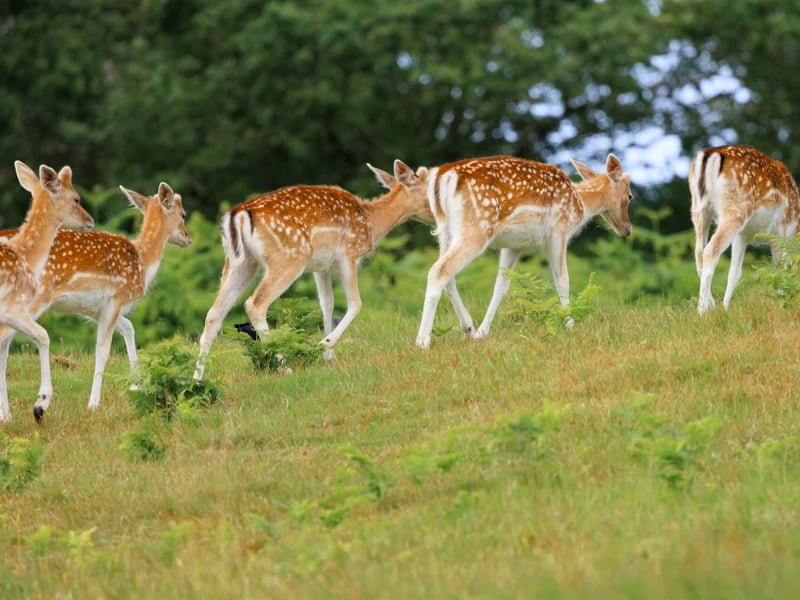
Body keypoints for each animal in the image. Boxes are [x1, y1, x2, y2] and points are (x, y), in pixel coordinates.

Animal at [0, 161, 94, 423]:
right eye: (76, 198)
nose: (90, 220)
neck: (26, 256)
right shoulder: (11, 307)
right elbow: (43, 335)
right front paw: (40, 404)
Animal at [0, 182, 191, 413]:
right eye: (183, 214)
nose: (188, 238)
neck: (143, 264)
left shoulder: (94, 309)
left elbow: (129, 328)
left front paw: (136, 385)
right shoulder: (116, 298)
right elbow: (102, 350)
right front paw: (93, 404)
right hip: (29, 300)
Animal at [193, 159, 431, 380]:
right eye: (429, 189)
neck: (371, 224)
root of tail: (238, 216)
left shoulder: (321, 267)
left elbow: (327, 303)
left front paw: (329, 357)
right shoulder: (348, 256)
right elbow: (356, 304)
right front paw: (324, 344)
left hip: (239, 264)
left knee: (213, 314)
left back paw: (196, 378)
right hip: (288, 258)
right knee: (255, 303)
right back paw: (284, 366)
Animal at [415, 154, 633, 349]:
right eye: (630, 196)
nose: (627, 229)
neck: (580, 204)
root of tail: (442, 176)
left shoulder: (514, 245)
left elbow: (501, 286)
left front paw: (482, 333)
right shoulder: (558, 231)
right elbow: (562, 280)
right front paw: (570, 325)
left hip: (445, 232)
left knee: (448, 276)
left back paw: (468, 328)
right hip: (477, 227)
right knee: (438, 271)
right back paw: (422, 341)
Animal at [690, 145, 800, 315]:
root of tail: (710, 154)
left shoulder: (743, 236)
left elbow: (734, 273)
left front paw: (726, 308)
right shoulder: (782, 232)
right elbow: (782, 268)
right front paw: (784, 303)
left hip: (698, 208)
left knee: (698, 252)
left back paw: (712, 304)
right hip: (736, 210)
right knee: (710, 251)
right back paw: (701, 311)